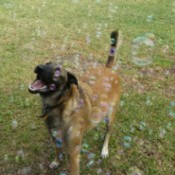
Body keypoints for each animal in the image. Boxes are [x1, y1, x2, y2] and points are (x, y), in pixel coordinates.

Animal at [28, 30, 121, 174]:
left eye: (57, 71)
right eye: (47, 63)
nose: (38, 67)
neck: (61, 105)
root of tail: (108, 68)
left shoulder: (74, 154)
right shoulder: (56, 138)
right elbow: (58, 152)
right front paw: (57, 162)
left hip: (110, 115)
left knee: (108, 132)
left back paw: (105, 149)